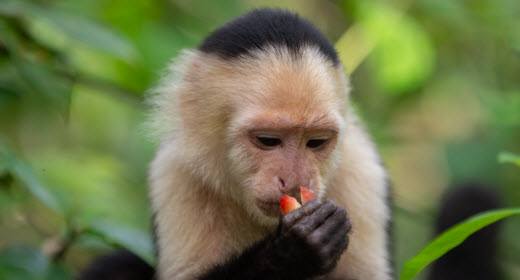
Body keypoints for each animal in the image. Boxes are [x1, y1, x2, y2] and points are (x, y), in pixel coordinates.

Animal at [80, 7, 390, 278]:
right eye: (268, 140)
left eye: (315, 142)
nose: (294, 180)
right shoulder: (174, 172)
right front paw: (294, 251)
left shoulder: (362, 169)